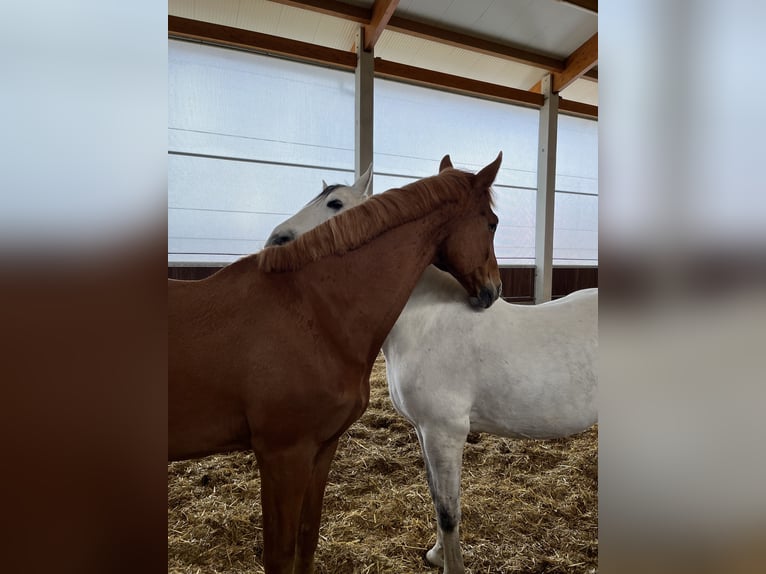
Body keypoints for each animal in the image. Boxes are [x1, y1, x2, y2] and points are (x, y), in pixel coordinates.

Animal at [168, 154, 504, 574]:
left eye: (334, 202)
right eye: (492, 223)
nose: (493, 289)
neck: (311, 310)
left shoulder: (322, 448)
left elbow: (307, 537)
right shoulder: (283, 457)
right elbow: (281, 555)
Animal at [270, 160, 600, 574]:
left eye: (335, 203)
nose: (275, 241)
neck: (426, 320)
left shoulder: (445, 433)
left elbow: (447, 510)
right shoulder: (424, 431)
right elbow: (436, 497)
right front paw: (437, 553)